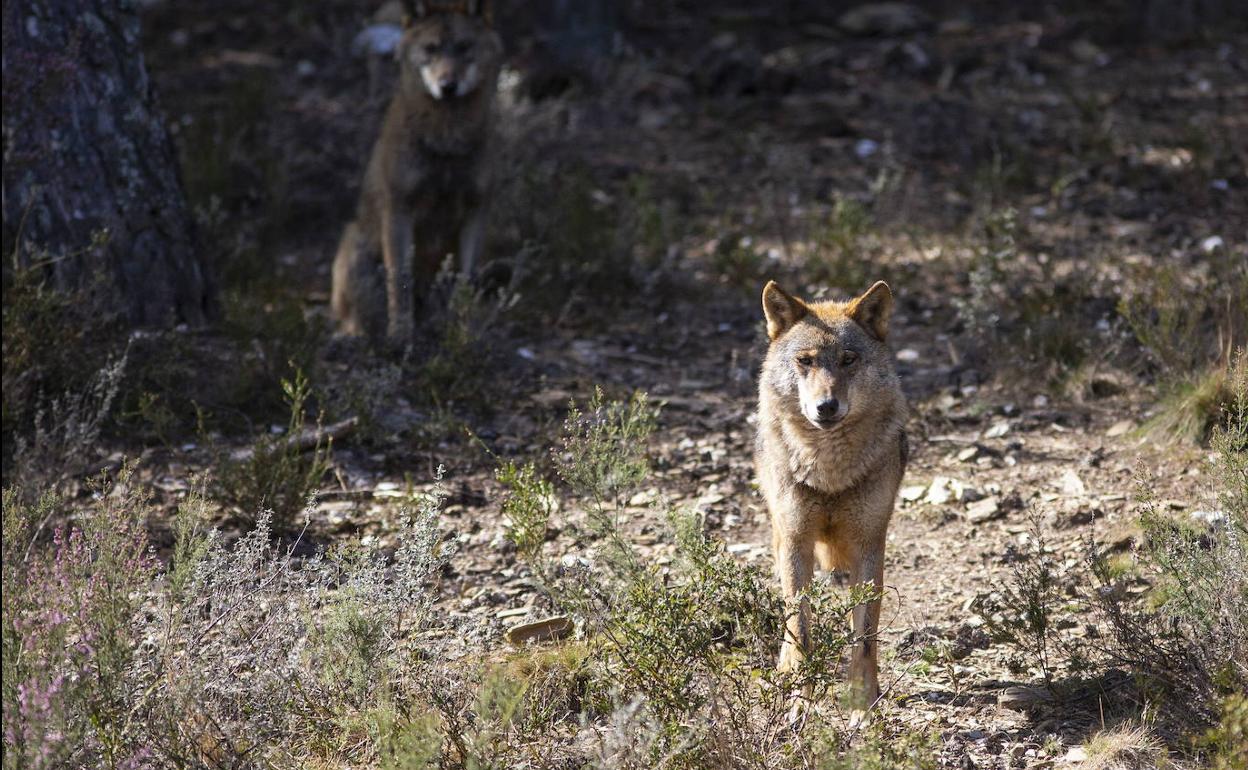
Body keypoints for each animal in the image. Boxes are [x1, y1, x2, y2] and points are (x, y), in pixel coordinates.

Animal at [336, 0, 506, 341]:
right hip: (355, 248)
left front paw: (462, 330)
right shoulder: (399, 208)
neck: (447, 141)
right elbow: (400, 282)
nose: (448, 86)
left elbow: (466, 282)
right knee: (356, 316)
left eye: (464, 47)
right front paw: (401, 335)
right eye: (431, 49)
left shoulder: (477, 210)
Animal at [748, 279, 908, 703]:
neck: (830, 472)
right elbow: (801, 631)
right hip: (781, 531)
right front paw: (800, 703)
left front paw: (862, 705)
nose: (826, 406)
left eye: (848, 359)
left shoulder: (869, 543)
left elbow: (864, 639)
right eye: (806, 361)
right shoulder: (796, 540)